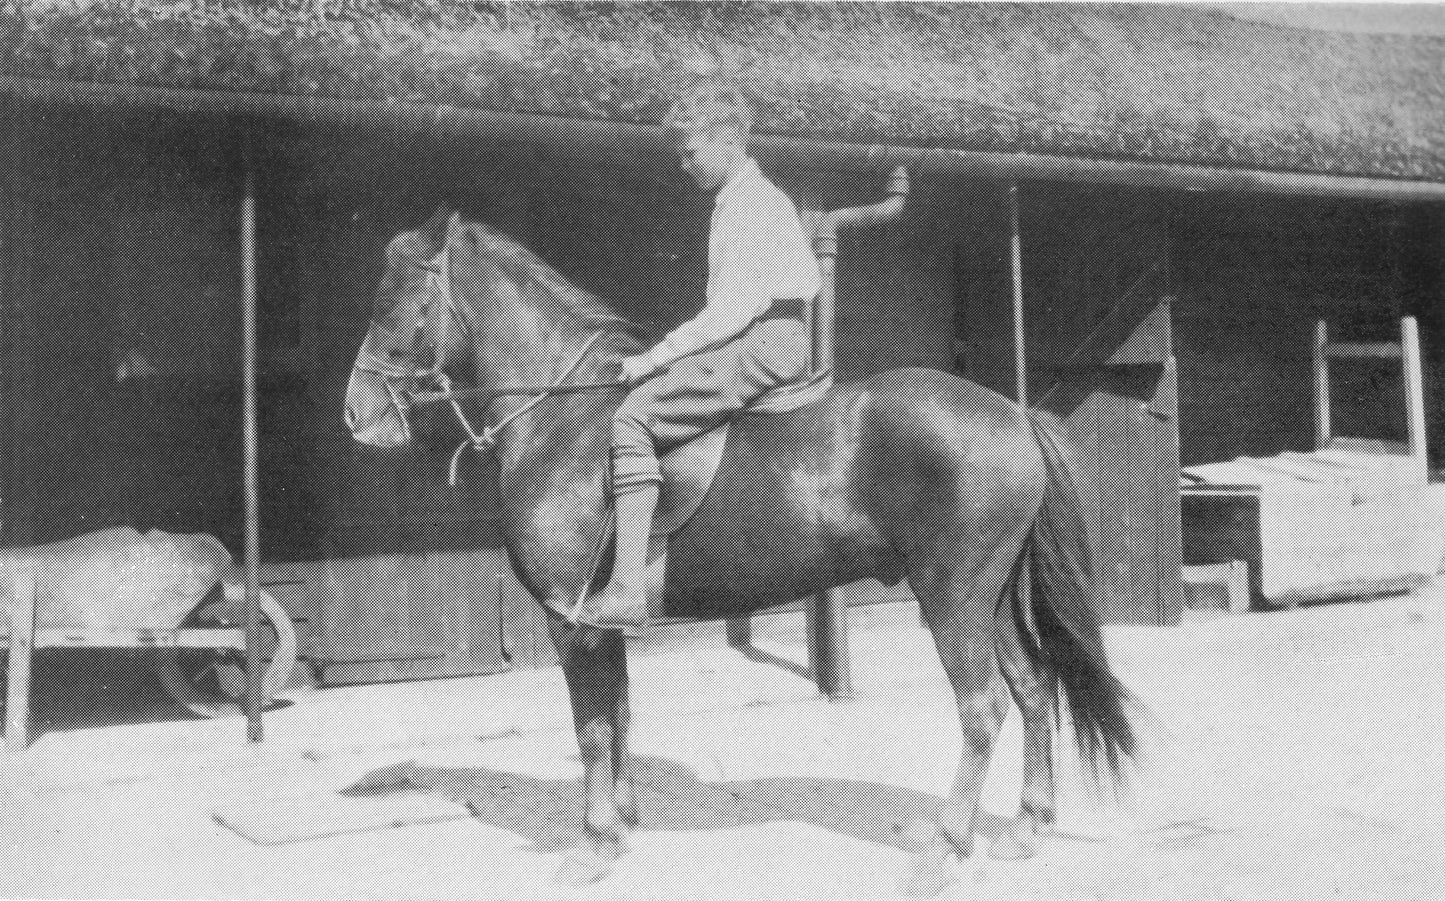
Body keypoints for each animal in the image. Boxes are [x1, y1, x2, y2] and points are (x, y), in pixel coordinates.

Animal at [343, 207, 1136, 894]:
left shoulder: (571, 623)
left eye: (395, 299)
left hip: (952, 596)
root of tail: (1013, 414)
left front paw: (592, 843)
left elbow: (592, 729)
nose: (356, 413)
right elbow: (619, 716)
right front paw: (621, 824)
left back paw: (942, 850)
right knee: (1033, 688)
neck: (563, 419)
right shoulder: (603, 626)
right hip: (992, 597)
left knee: (982, 710)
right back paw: (1025, 826)